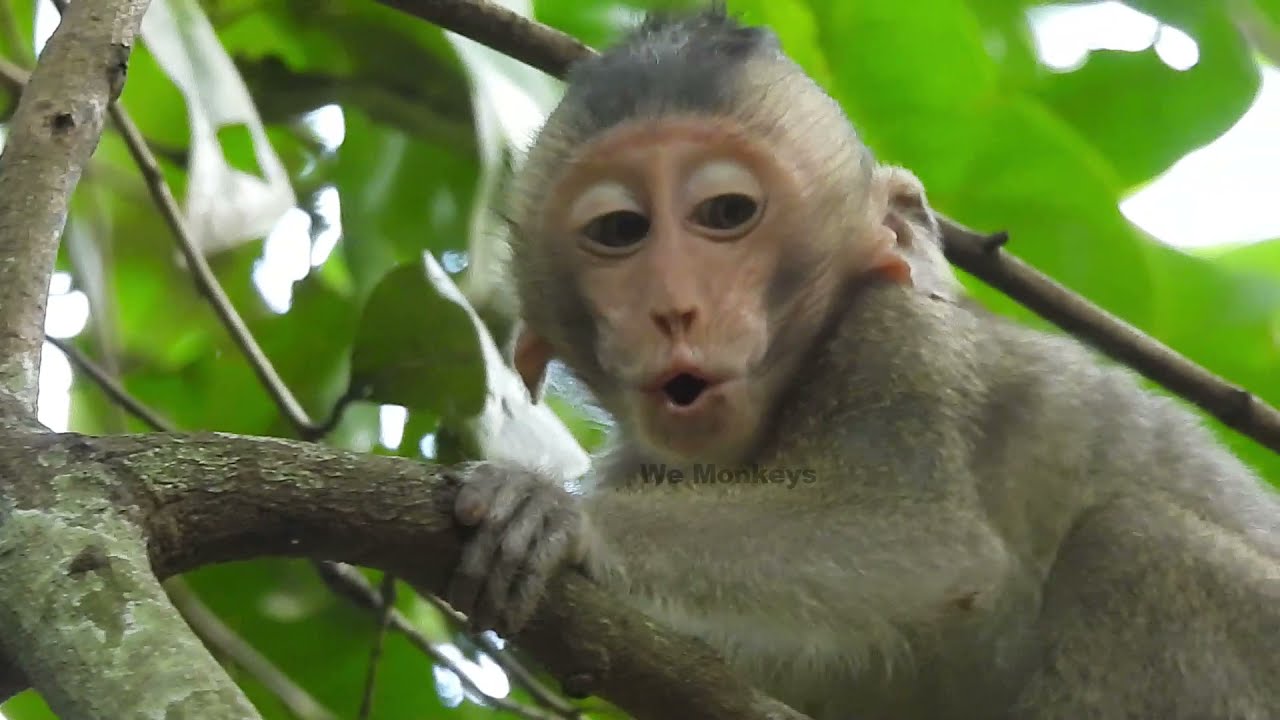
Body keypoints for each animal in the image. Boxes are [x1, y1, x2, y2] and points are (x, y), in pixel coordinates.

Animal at [445, 7, 1280, 720]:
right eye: (620, 229)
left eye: (725, 213)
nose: (674, 309)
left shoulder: (894, 343)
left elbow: (925, 542)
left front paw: (563, 514)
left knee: (1138, 543)